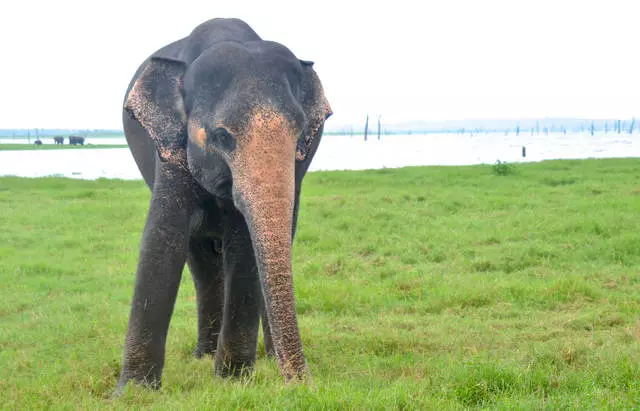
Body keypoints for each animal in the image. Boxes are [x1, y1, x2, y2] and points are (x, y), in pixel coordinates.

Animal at [115, 17, 332, 394]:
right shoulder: (170, 152)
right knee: (200, 260)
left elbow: (243, 246)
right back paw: (204, 355)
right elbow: (161, 239)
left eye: (301, 132)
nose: (304, 386)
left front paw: (231, 379)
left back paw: (264, 357)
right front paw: (132, 394)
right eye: (221, 137)